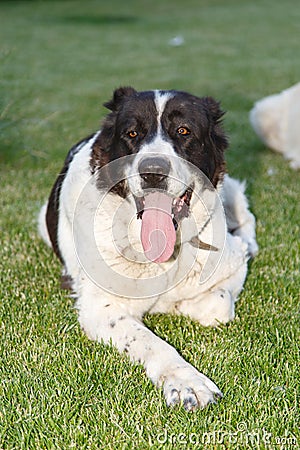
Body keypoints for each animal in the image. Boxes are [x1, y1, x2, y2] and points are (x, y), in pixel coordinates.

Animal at [38, 88, 258, 412]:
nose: (153, 171)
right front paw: (186, 382)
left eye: (183, 131)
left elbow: (218, 305)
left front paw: (178, 305)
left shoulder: (235, 262)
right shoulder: (100, 308)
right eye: (132, 133)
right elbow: (151, 343)